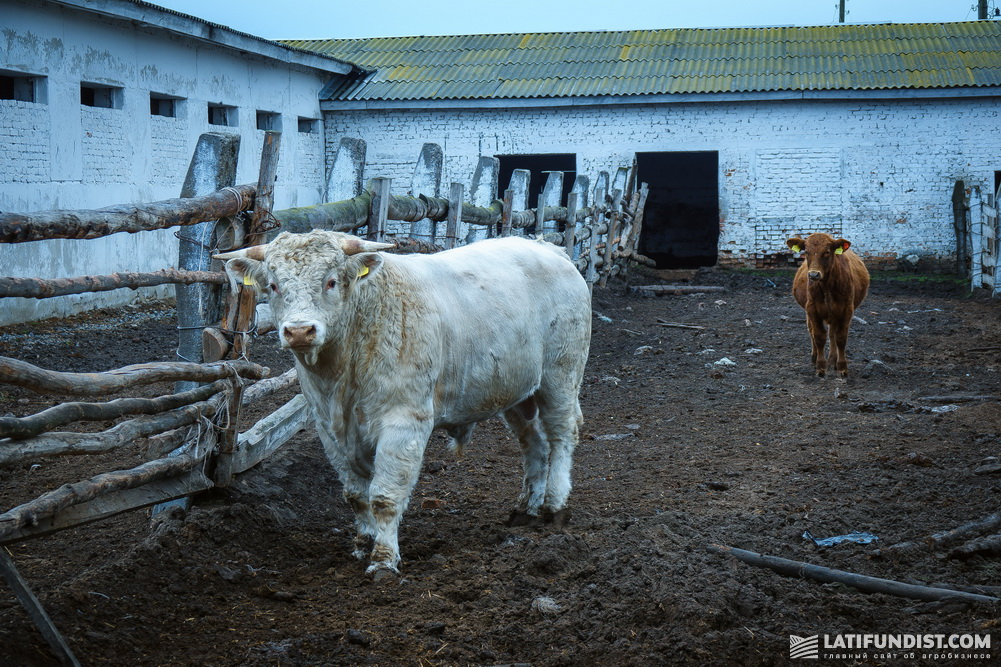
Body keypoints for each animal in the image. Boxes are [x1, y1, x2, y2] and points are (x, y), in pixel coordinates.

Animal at [217, 231, 592, 572]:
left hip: (561, 375)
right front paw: (363, 543)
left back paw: (554, 505)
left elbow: (384, 496)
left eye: (331, 281)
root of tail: (547, 248)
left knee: (562, 435)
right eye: (273, 285)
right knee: (534, 443)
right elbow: (356, 495)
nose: (298, 330)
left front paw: (383, 560)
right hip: (517, 392)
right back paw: (526, 508)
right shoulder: (328, 429)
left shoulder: (404, 421)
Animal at [788, 232, 868, 378]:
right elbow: (819, 336)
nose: (814, 274)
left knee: (832, 334)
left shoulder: (847, 310)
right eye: (806, 251)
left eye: (827, 252)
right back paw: (814, 358)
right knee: (811, 331)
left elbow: (840, 337)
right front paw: (820, 367)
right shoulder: (812, 309)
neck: (827, 286)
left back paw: (833, 360)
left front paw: (842, 367)